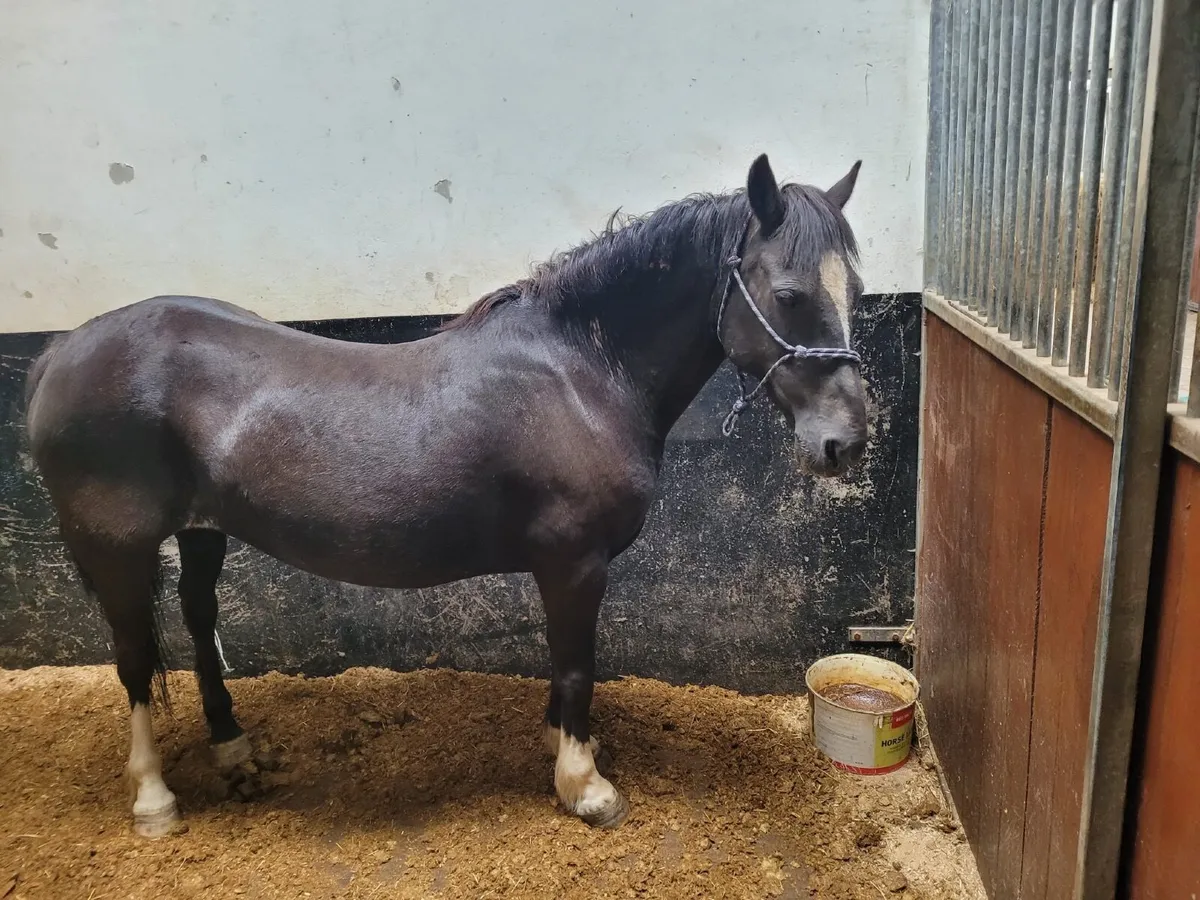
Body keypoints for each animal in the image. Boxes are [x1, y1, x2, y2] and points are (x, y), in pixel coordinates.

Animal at [24, 154, 868, 837]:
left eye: (857, 287)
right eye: (789, 294)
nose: (846, 443)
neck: (581, 374)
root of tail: (61, 352)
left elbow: (564, 665)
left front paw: (563, 743)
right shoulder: (576, 562)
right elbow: (575, 663)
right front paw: (584, 786)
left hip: (202, 531)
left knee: (199, 625)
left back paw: (234, 752)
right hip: (118, 546)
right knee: (134, 660)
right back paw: (154, 801)